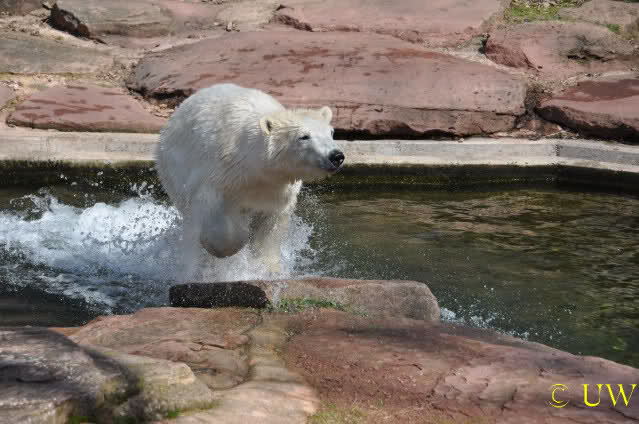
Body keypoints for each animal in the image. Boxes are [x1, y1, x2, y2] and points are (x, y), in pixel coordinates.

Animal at [155, 83, 345, 274]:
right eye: (304, 136)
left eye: (331, 133)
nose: (336, 156)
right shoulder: (218, 175)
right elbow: (211, 211)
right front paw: (228, 243)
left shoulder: (277, 188)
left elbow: (272, 223)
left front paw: (268, 267)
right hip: (173, 168)